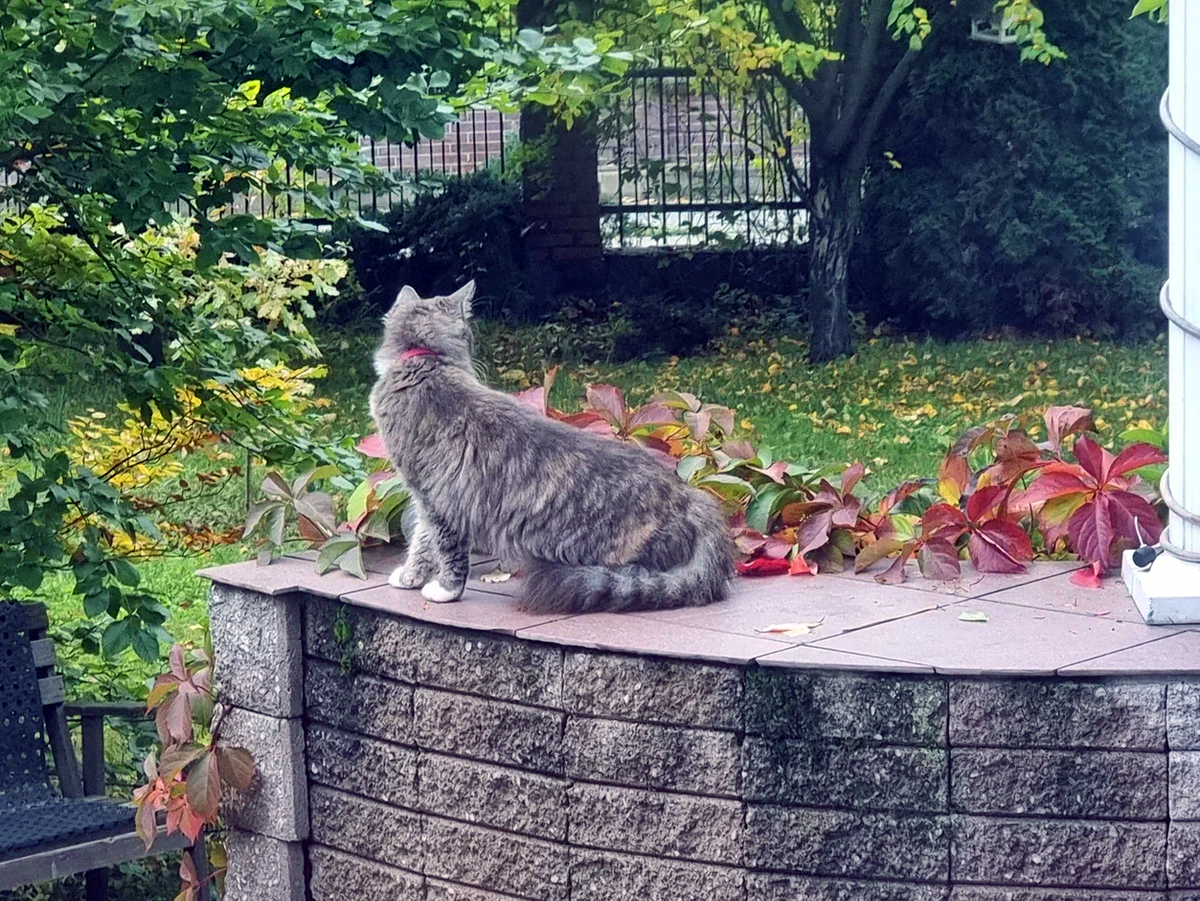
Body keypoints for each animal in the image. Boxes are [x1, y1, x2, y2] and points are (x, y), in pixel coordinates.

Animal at [369, 278, 734, 609]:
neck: (422, 362)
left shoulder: (436, 497)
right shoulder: (427, 497)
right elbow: (423, 542)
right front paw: (410, 577)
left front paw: (444, 589)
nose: (475, 345)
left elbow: (444, 549)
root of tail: (691, 498)